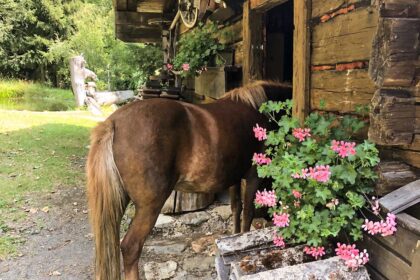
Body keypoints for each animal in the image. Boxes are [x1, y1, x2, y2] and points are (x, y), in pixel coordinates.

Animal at [87, 80, 290, 278]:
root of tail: (113, 123)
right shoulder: (253, 176)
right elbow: (247, 213)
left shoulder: (234, 178)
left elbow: (236, 209)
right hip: (149, 207)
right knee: (131, 247)